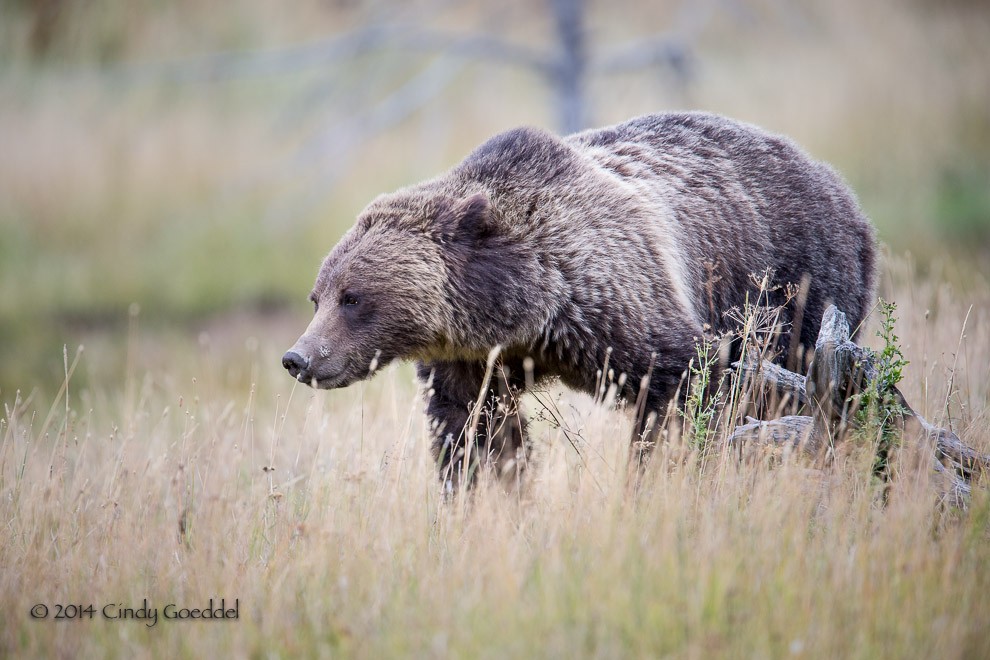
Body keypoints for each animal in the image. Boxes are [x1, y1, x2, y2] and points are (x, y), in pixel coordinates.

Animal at [282, 111, 880, 488]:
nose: (299, 357)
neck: (526, 312)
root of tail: (842, 190)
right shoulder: (472, 361)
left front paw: (657, 475)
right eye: (317, 297)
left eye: (353, 297)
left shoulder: (624, 305)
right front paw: (488, 494)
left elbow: (683, 393)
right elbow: (474, 432)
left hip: (798, 285)